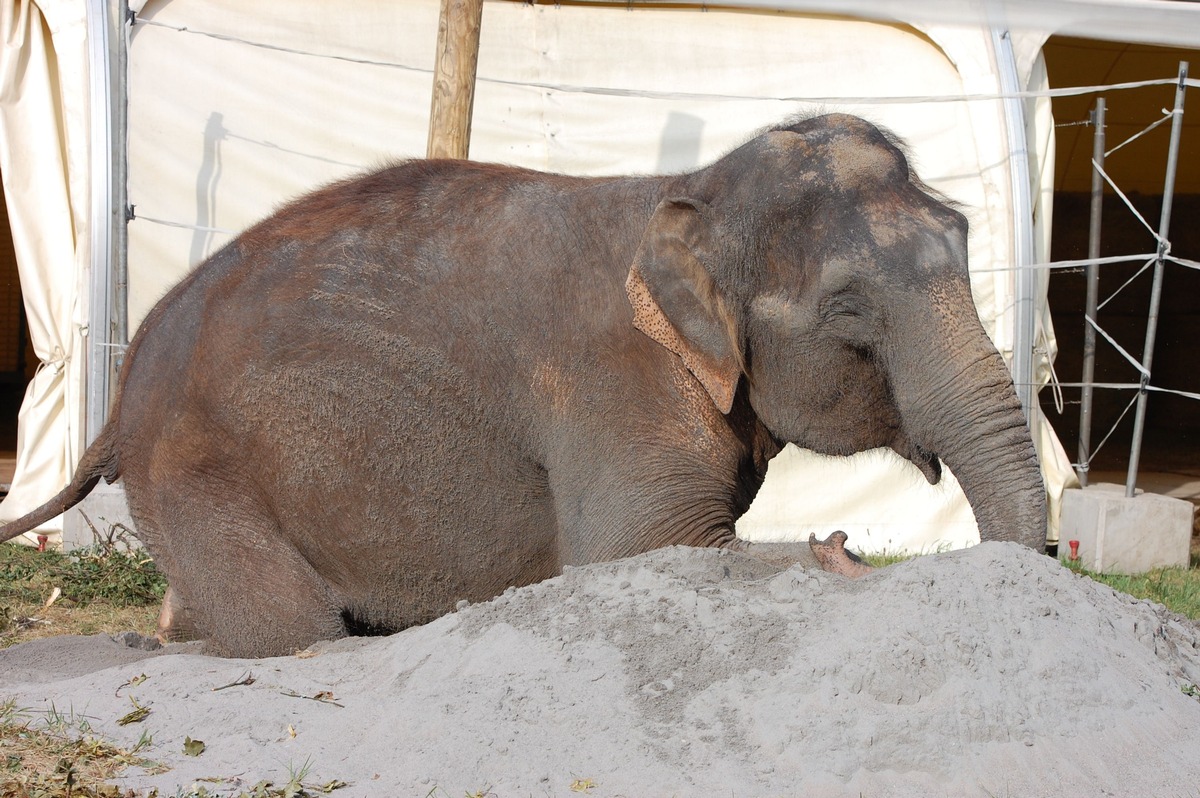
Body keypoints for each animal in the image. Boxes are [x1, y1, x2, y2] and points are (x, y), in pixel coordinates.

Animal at [0, 113, 1041, 657]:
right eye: (851, 309)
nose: (847, 539)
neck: (688, 191)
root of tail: (120, 395)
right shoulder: (611, 381)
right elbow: (639, 550)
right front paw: (839, 556)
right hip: (195, 471)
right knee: (293, 630)